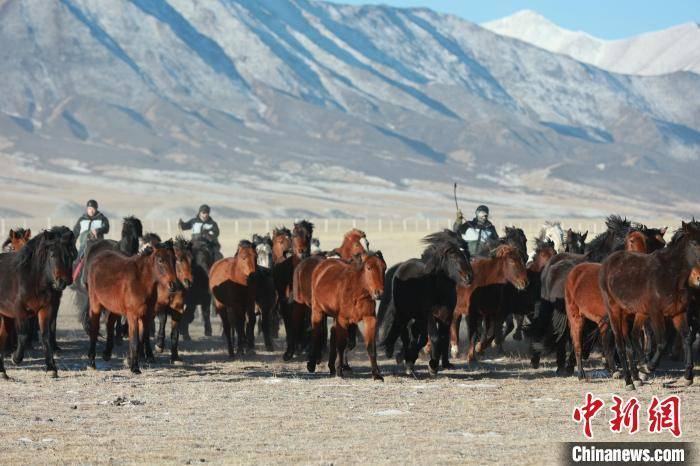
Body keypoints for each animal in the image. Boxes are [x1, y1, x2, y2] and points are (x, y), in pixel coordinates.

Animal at [86, 242, 179, 374]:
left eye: (175, 259)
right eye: (160, 260)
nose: (173, 285)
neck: (140, 282)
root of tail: (97, 258)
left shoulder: (145, 316)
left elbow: (140, 340)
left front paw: (131, 362)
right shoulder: (133, 316)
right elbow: (135, 341)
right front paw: (134, 368)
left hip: (115, 307)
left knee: (110, 323)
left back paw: (107, 354)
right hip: (95, 305)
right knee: (94, 329)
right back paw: (91, 362)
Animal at [286, 229, 372, 360]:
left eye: (367, 243)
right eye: (357, 244)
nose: (368, 259)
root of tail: (302, 264)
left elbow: (348, 340)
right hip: (299, 303)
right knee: (295, 323)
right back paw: (290, 352)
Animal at [374, 229, 474, 374]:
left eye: (467, 255)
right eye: (453, 256)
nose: (469, 277)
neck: (437, 290)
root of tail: (402, 266)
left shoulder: (446, 317)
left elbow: (443, 338)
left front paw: (440, 363)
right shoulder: (429, 316)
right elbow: (435, 338)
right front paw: (432, 366)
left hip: (418, 318)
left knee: (415, 334)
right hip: (405, 314)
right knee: (404, 332)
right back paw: (405, 358)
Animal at [600, 222, 700, 390]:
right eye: (693, 243)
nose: (698, 278)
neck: (670, 275)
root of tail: (608, 261)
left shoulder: (678, 313)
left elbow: (687, 338)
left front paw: (688, 376)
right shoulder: (656, 314)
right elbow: (662, 342)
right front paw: (648, 367)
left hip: (630, 312)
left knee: (630, 340)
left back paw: (635, 377)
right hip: (614, 310)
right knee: (620, 345)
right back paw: (628, 381)